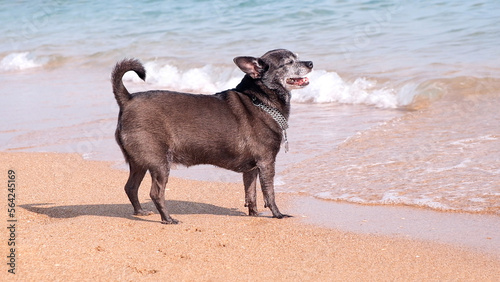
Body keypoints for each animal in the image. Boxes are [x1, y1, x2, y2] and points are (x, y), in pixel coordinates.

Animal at [112, 49, 312, 225]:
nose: (310, 63)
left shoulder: (251, 169)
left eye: (297, 58)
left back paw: (140, 211)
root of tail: (128, 99)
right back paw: (168, 219)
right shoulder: (266, 163)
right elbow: (269, 193)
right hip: (159, 163)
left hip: (140, 162)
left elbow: (251, 193)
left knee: (130, 187)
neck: (260, 101)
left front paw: (254, 214)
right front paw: (278, 214)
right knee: (156, 193)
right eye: (289, 62)